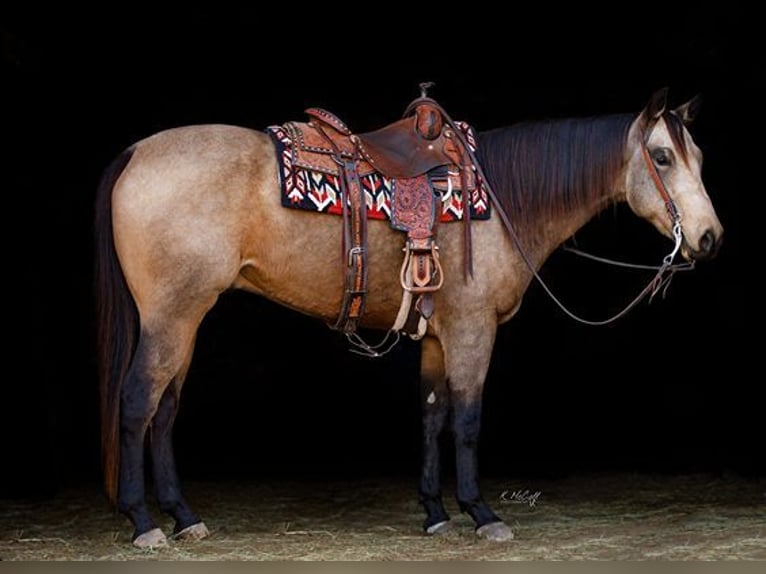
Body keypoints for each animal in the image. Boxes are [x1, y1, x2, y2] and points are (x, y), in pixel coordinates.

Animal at [93, 86, 724, 548]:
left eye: (698, 157)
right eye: (662, 157)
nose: (709, 238)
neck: (504, 200)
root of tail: (135, 153)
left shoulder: (439, 337)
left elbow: (431, 415)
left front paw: (435, 512)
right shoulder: (472, 331)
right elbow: (466, 420)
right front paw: (482, 513)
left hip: (187, 319)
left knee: (164, 411)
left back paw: (182, 516)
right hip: (170, 317)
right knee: (138, 402)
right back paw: (144, 523)